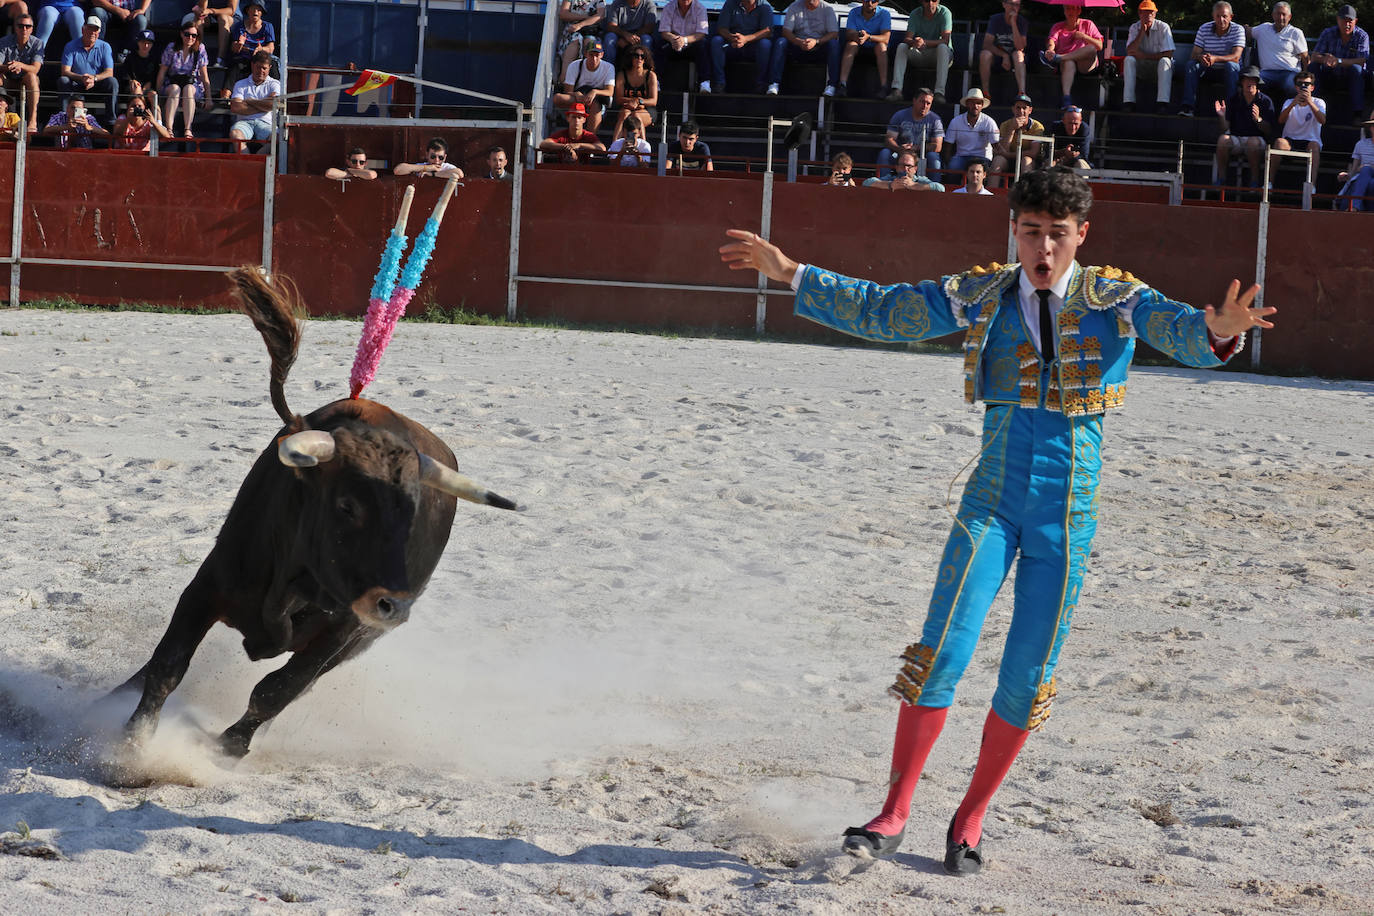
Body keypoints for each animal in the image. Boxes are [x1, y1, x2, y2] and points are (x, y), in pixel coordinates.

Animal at [114, 269, 516, 758]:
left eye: (413, 512)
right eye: (347, 505)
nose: (394, 605)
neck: (293, 582)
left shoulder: (344, 630)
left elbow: (277, 689)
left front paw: (229, 749)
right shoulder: (207, 585)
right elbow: (168, 663)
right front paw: (132, 743)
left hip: (361, 640)